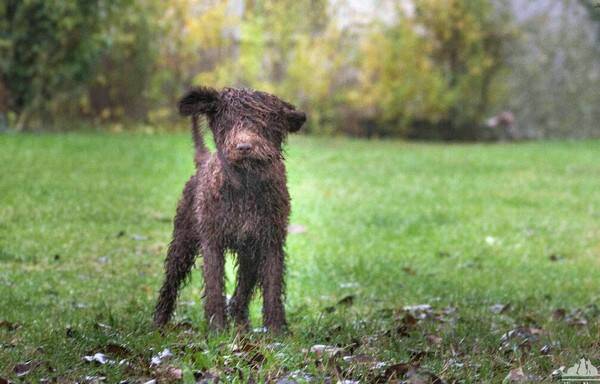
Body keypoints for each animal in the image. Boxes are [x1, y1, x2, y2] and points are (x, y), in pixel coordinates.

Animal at [152, 86, 308, 330]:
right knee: (171, 282)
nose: (244, 147)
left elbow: (272, 287)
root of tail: (203, 160)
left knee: (240, 294)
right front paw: (217, 329)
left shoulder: (270, 241)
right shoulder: (212, 240)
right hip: (183, 241)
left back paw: (242, 324)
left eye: (264, 122)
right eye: (227, 121)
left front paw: (276, 330)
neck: (246, 186)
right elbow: (215, 286)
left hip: (250, 254)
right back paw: (158, 323)